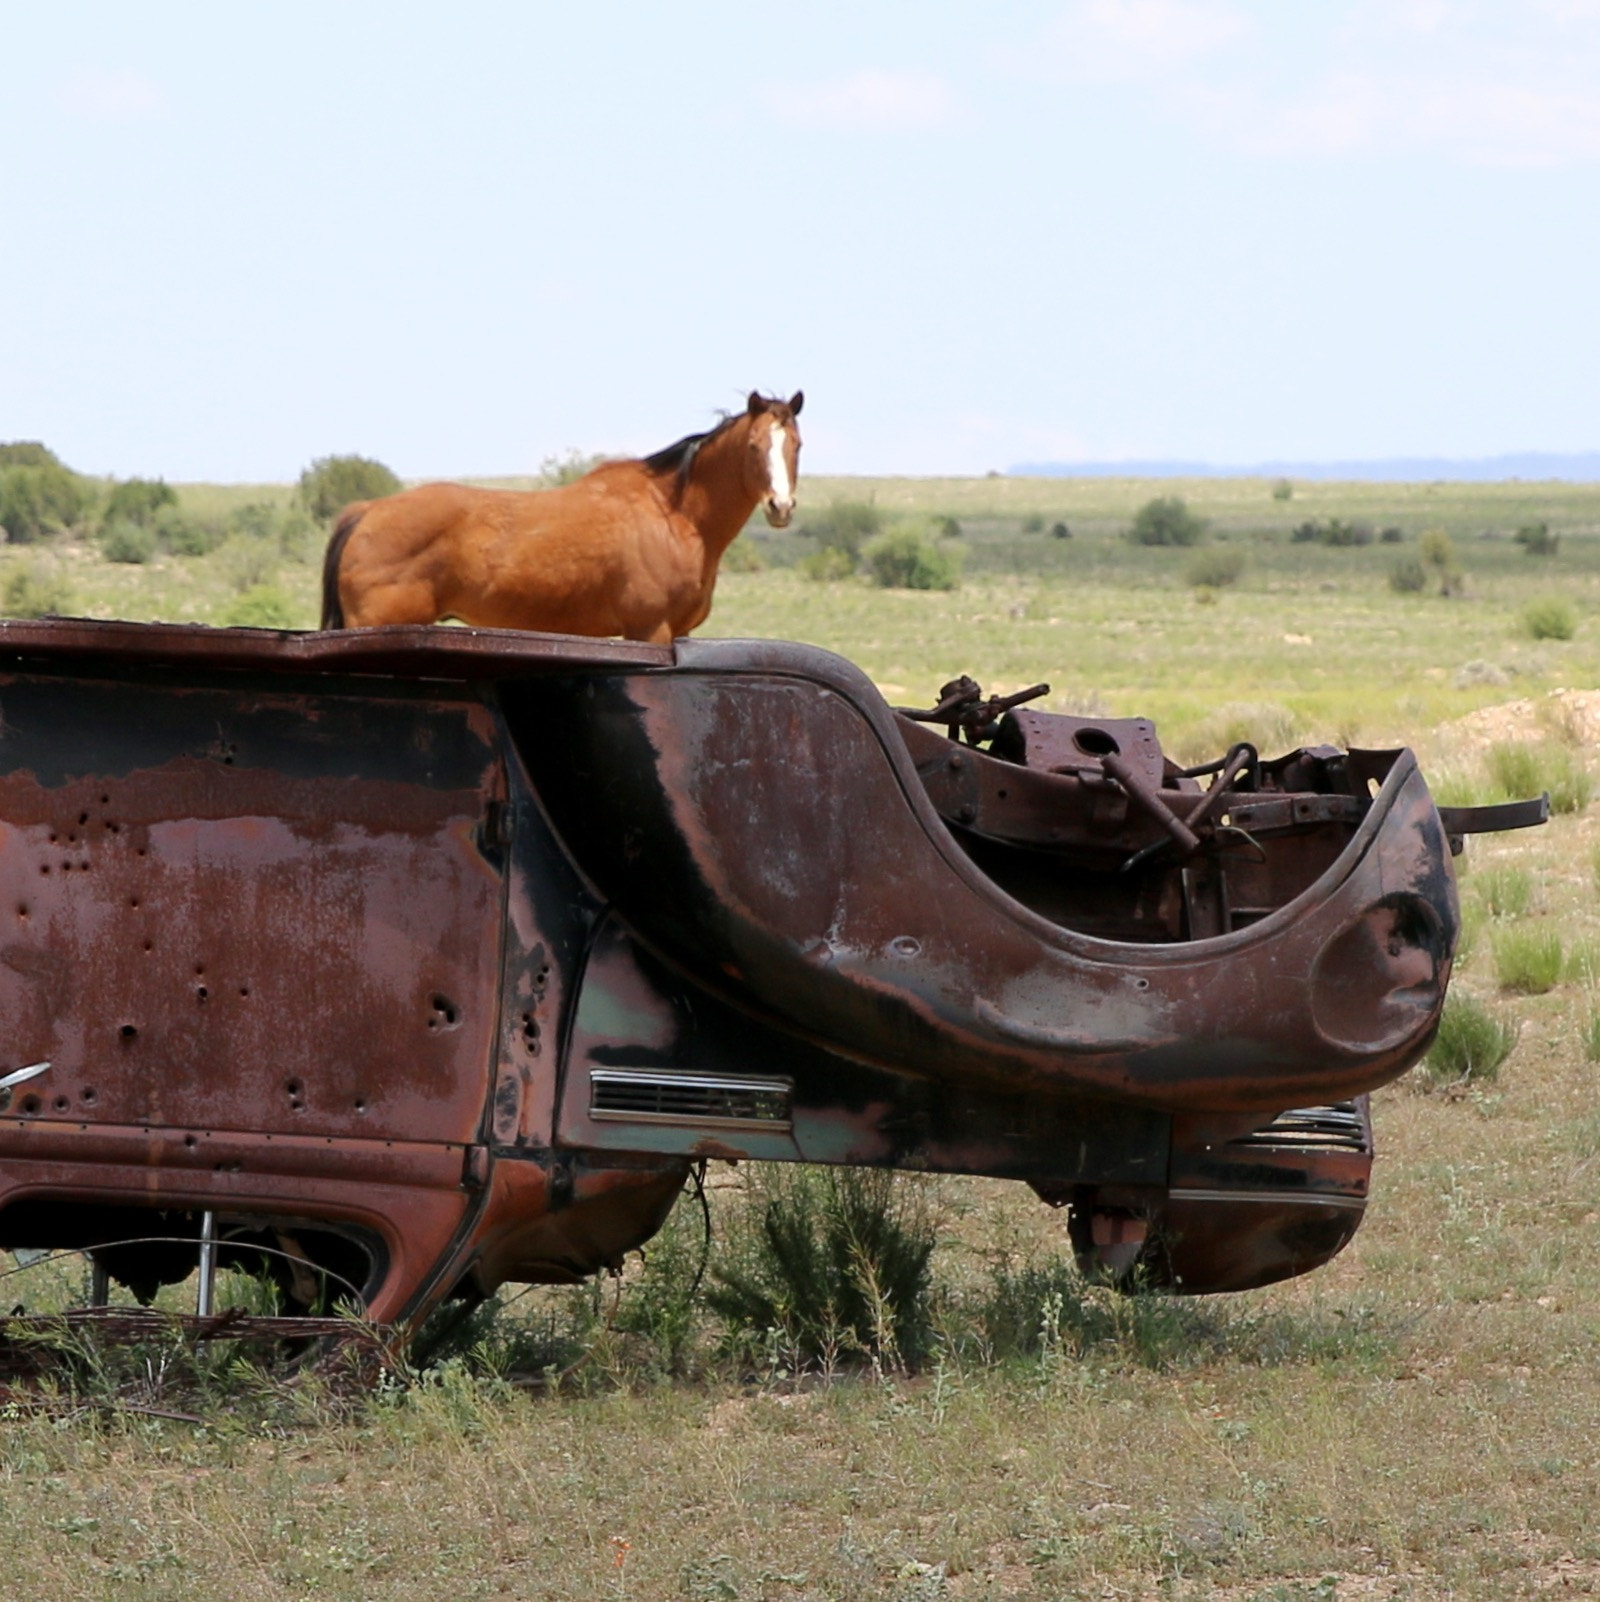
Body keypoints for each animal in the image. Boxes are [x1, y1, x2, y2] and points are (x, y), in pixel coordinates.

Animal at [320, 390, 803, 644]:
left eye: (796, 445)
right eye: (754, 446)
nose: (780, 506)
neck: (672, 514)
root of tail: (367, 512)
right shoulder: (650, 631)